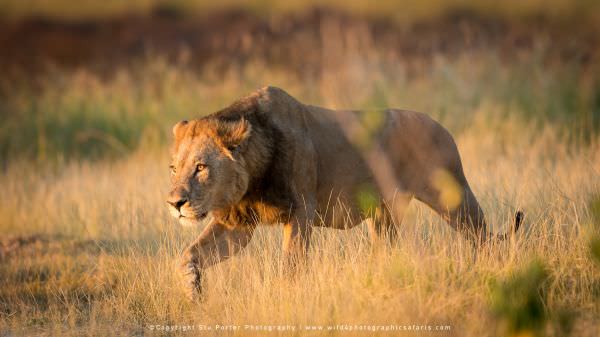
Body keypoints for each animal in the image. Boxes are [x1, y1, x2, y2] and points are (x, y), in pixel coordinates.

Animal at [166, 86, 524, 296]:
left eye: (201, 167)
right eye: (173, 168)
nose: (174, 203)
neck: (252, 175)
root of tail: (442, 126)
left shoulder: (302, 211)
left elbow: (291, 265)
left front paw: (287, 296)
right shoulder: (238, 225)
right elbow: (190, 255)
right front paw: (193, 292)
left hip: (452, 196)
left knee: (483, 236)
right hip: (385, 215)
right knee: (386, 251)